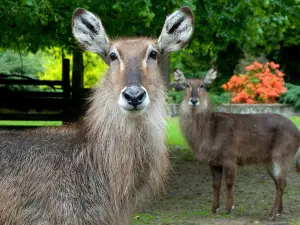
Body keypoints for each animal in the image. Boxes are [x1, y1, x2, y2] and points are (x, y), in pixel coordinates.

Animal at [170, 68, 300, 220]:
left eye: (202, 85)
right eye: (187, 85)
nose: (194, 100)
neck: (208, 131)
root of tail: (297, 131)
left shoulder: (230, 157)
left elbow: (229, 182)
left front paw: (229, 207)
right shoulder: (213, 162)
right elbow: (215, 184)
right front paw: (214, 208)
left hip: (282, 156)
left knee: (281, 183)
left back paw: (272, 214)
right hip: (269, 161)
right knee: (280, 182)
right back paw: (279, 211)